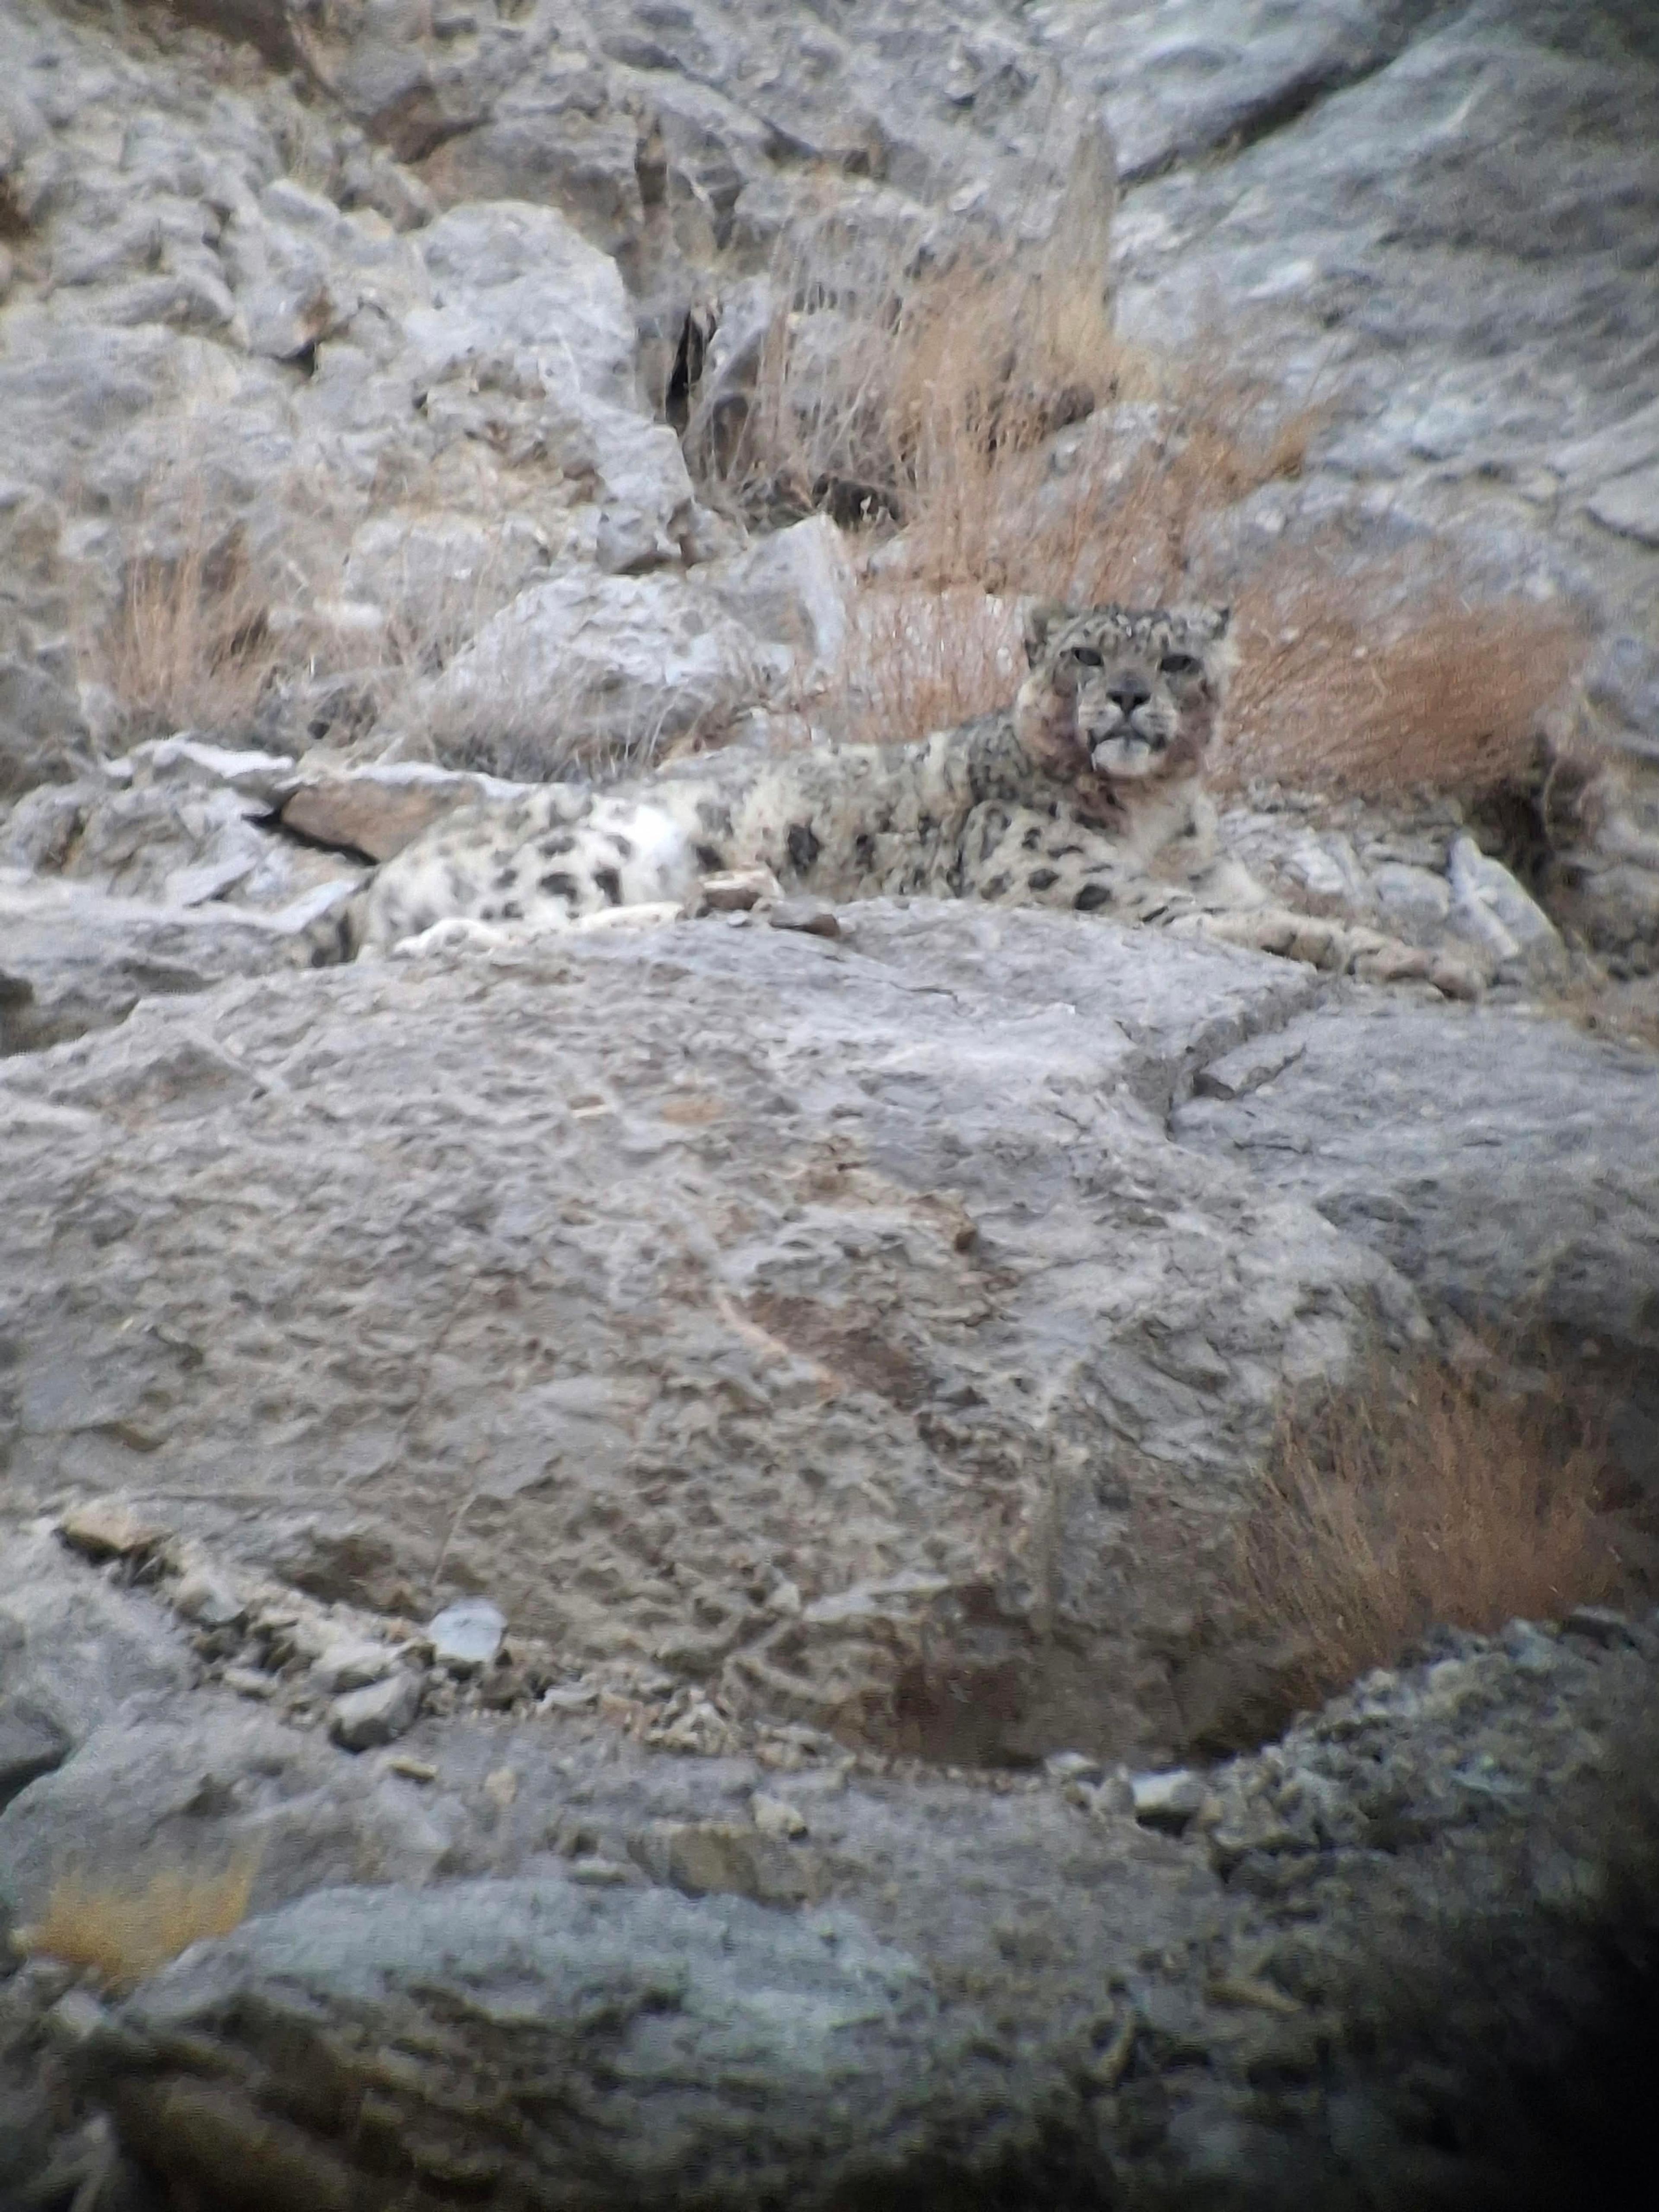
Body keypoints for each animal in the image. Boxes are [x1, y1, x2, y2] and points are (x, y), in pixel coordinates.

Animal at [344, 599, 1479, 997]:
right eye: (1084, 652)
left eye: (1176, 658)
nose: (1124, 696)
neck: (1155, 815)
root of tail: (391, 870)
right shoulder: (1055, 875)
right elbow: (1237, 919)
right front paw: (1419, 958)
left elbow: (1244, 902)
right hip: (608, 839)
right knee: (465, 934)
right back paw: (746, 897)